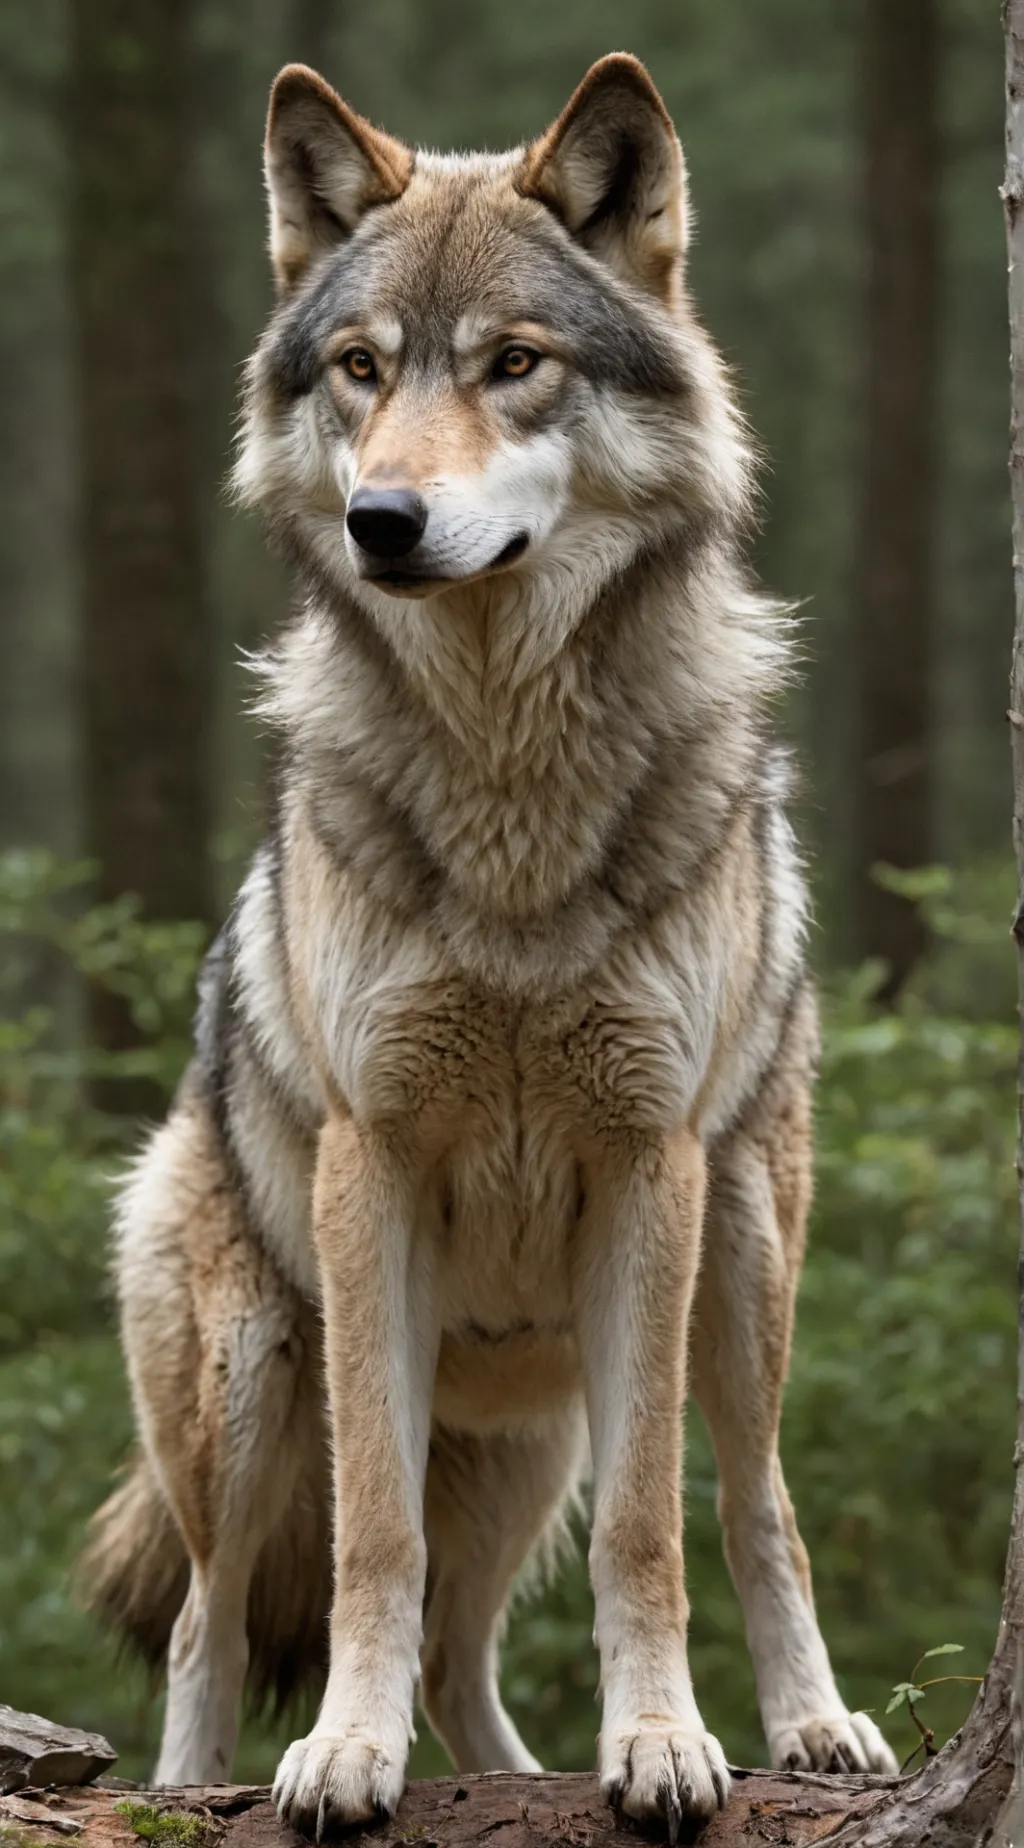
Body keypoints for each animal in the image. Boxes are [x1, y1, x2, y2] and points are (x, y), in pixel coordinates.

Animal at [82, 51, 898, 1840]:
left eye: (514, 365)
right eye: (362, 370)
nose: (384, 521)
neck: (511, 793)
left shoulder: (653, 1169)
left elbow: (658, 1533)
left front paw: (664, 1745)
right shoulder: (370, 1170)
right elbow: (368, 1542)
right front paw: (341, 1757)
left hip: (721, 1280)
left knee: (733, 1519)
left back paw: (799, 1730)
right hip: (253, 1380)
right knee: (213, 1618)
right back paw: (197, 1788)